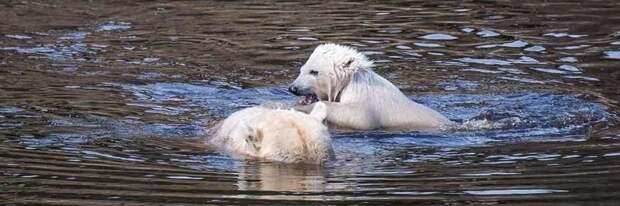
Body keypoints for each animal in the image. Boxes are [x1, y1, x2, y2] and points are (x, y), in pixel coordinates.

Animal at [288, 42, 452, 131]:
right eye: (302, 69)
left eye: (313, 71)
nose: (293, 88)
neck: (353, 82)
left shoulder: (367, 103)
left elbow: (356, 117)